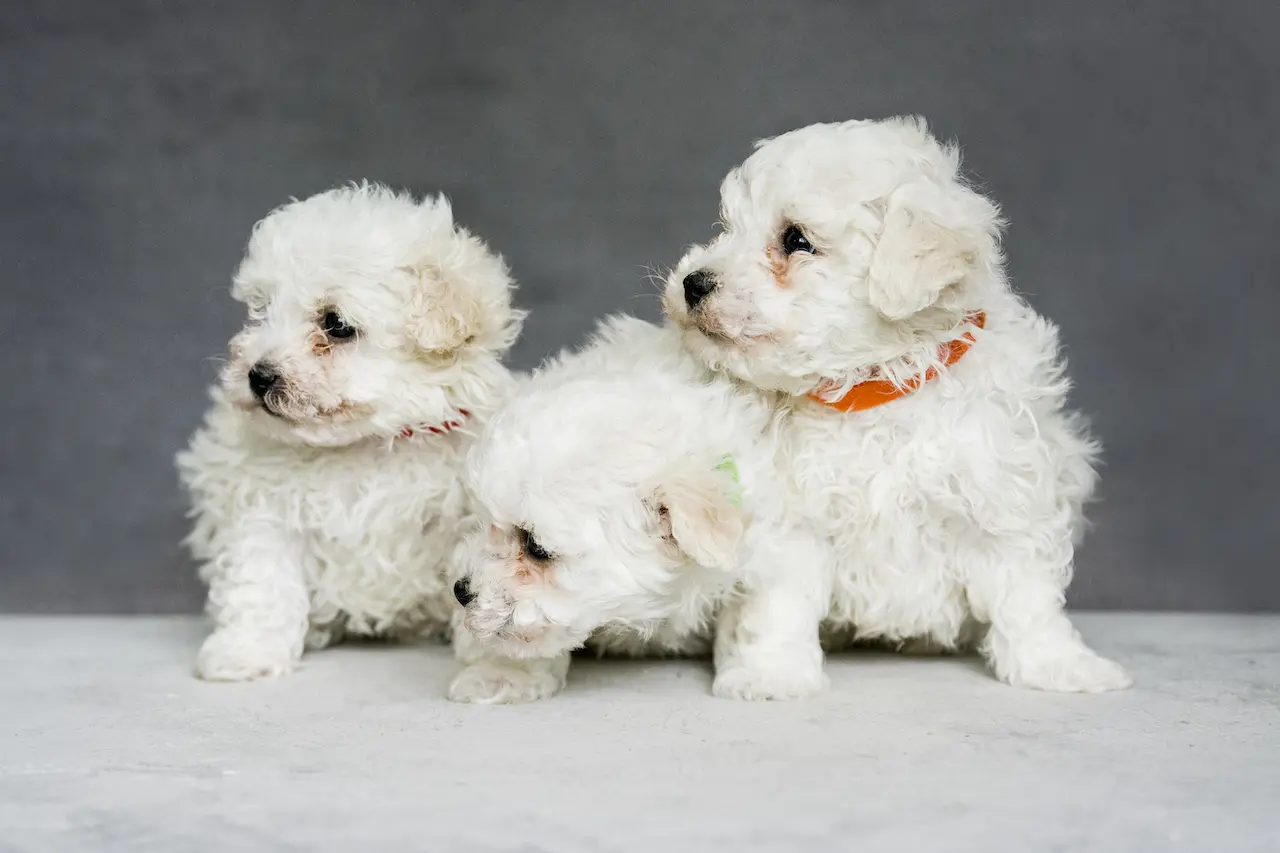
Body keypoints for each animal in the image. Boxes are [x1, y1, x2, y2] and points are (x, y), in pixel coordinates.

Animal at [177, 183, 522, 681]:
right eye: (261, 311)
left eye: (336, 325)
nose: (258, 376)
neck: (366, 444)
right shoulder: (263, 506)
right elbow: (261, 580)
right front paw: (246, 652)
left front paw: (488, 660)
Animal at [445, 315, 834, 701]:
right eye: (482, 521)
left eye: (535, 547)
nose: (461, 591)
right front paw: (502, 674)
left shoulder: (773, 534)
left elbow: (768, 610)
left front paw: (765, 677)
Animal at [665, 117, 1136, 691]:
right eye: (726, 226)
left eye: (796, 239)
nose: (692, 283)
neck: (875, 389)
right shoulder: (793, 520)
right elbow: (779, 603)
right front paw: (772, 674)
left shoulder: (1005, 497)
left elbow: (1026, 596)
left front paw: (1057, 664)